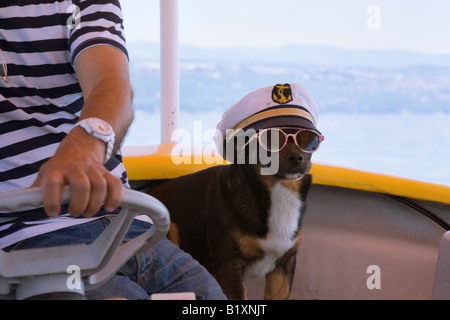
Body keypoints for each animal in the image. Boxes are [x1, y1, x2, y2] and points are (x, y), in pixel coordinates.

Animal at [149, 84, 322, 298]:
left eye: (309, 140)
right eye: (270, 139)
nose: (297, 158)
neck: (276, 190)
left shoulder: (284, 266)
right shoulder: (229, 266)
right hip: (171, 229)